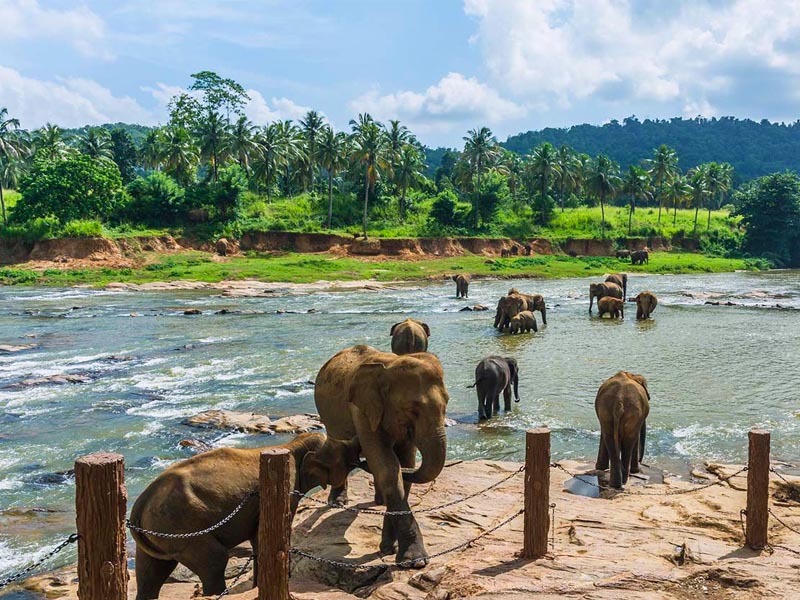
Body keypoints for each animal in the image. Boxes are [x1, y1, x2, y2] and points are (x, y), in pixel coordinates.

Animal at [129, 434, 360, 596]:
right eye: (347, 458)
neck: (294, 444)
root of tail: (139, 504)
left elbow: (258, 539)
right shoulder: (289, 488)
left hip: (160, 533)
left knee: (149, 573)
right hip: (183, 529)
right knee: (215, 559)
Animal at [314, 346, 450, 568]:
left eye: (447, 404)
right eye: (412, 409)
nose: (358, 456)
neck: (390, 364)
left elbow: (405, 465)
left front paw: (389, 548)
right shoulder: (361, 410)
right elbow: (389, 468)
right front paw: (414, 561)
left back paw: (378, 500)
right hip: (328, 416)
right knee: (337, 447)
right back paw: (337, 502)